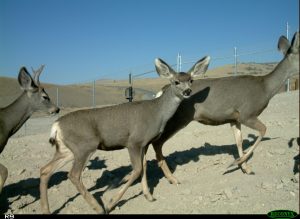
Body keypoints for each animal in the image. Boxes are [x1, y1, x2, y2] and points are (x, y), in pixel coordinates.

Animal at [39, 55, 211, 213]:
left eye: (191, 80)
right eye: (176, 81)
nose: (187, 91)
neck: (157, 113)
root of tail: (56, 125)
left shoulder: (144, 143)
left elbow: (144, 166)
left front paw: (149, 196)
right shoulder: (133, 141)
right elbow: (137, 170)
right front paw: (111, 202)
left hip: (66, 150)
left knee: (45, 170)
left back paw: (46, 209)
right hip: (84, 146)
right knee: (73, 175)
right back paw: (99, 207)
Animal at [151, 31, 298, 184]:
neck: (265, 88)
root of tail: (162, 90)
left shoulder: (234, 119)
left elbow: (239, 141)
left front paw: (245, 168)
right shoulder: (247, 114)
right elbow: (263, 130)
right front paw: (235, 164)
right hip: (177, 119)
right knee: (157, 143)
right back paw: (172, 178)